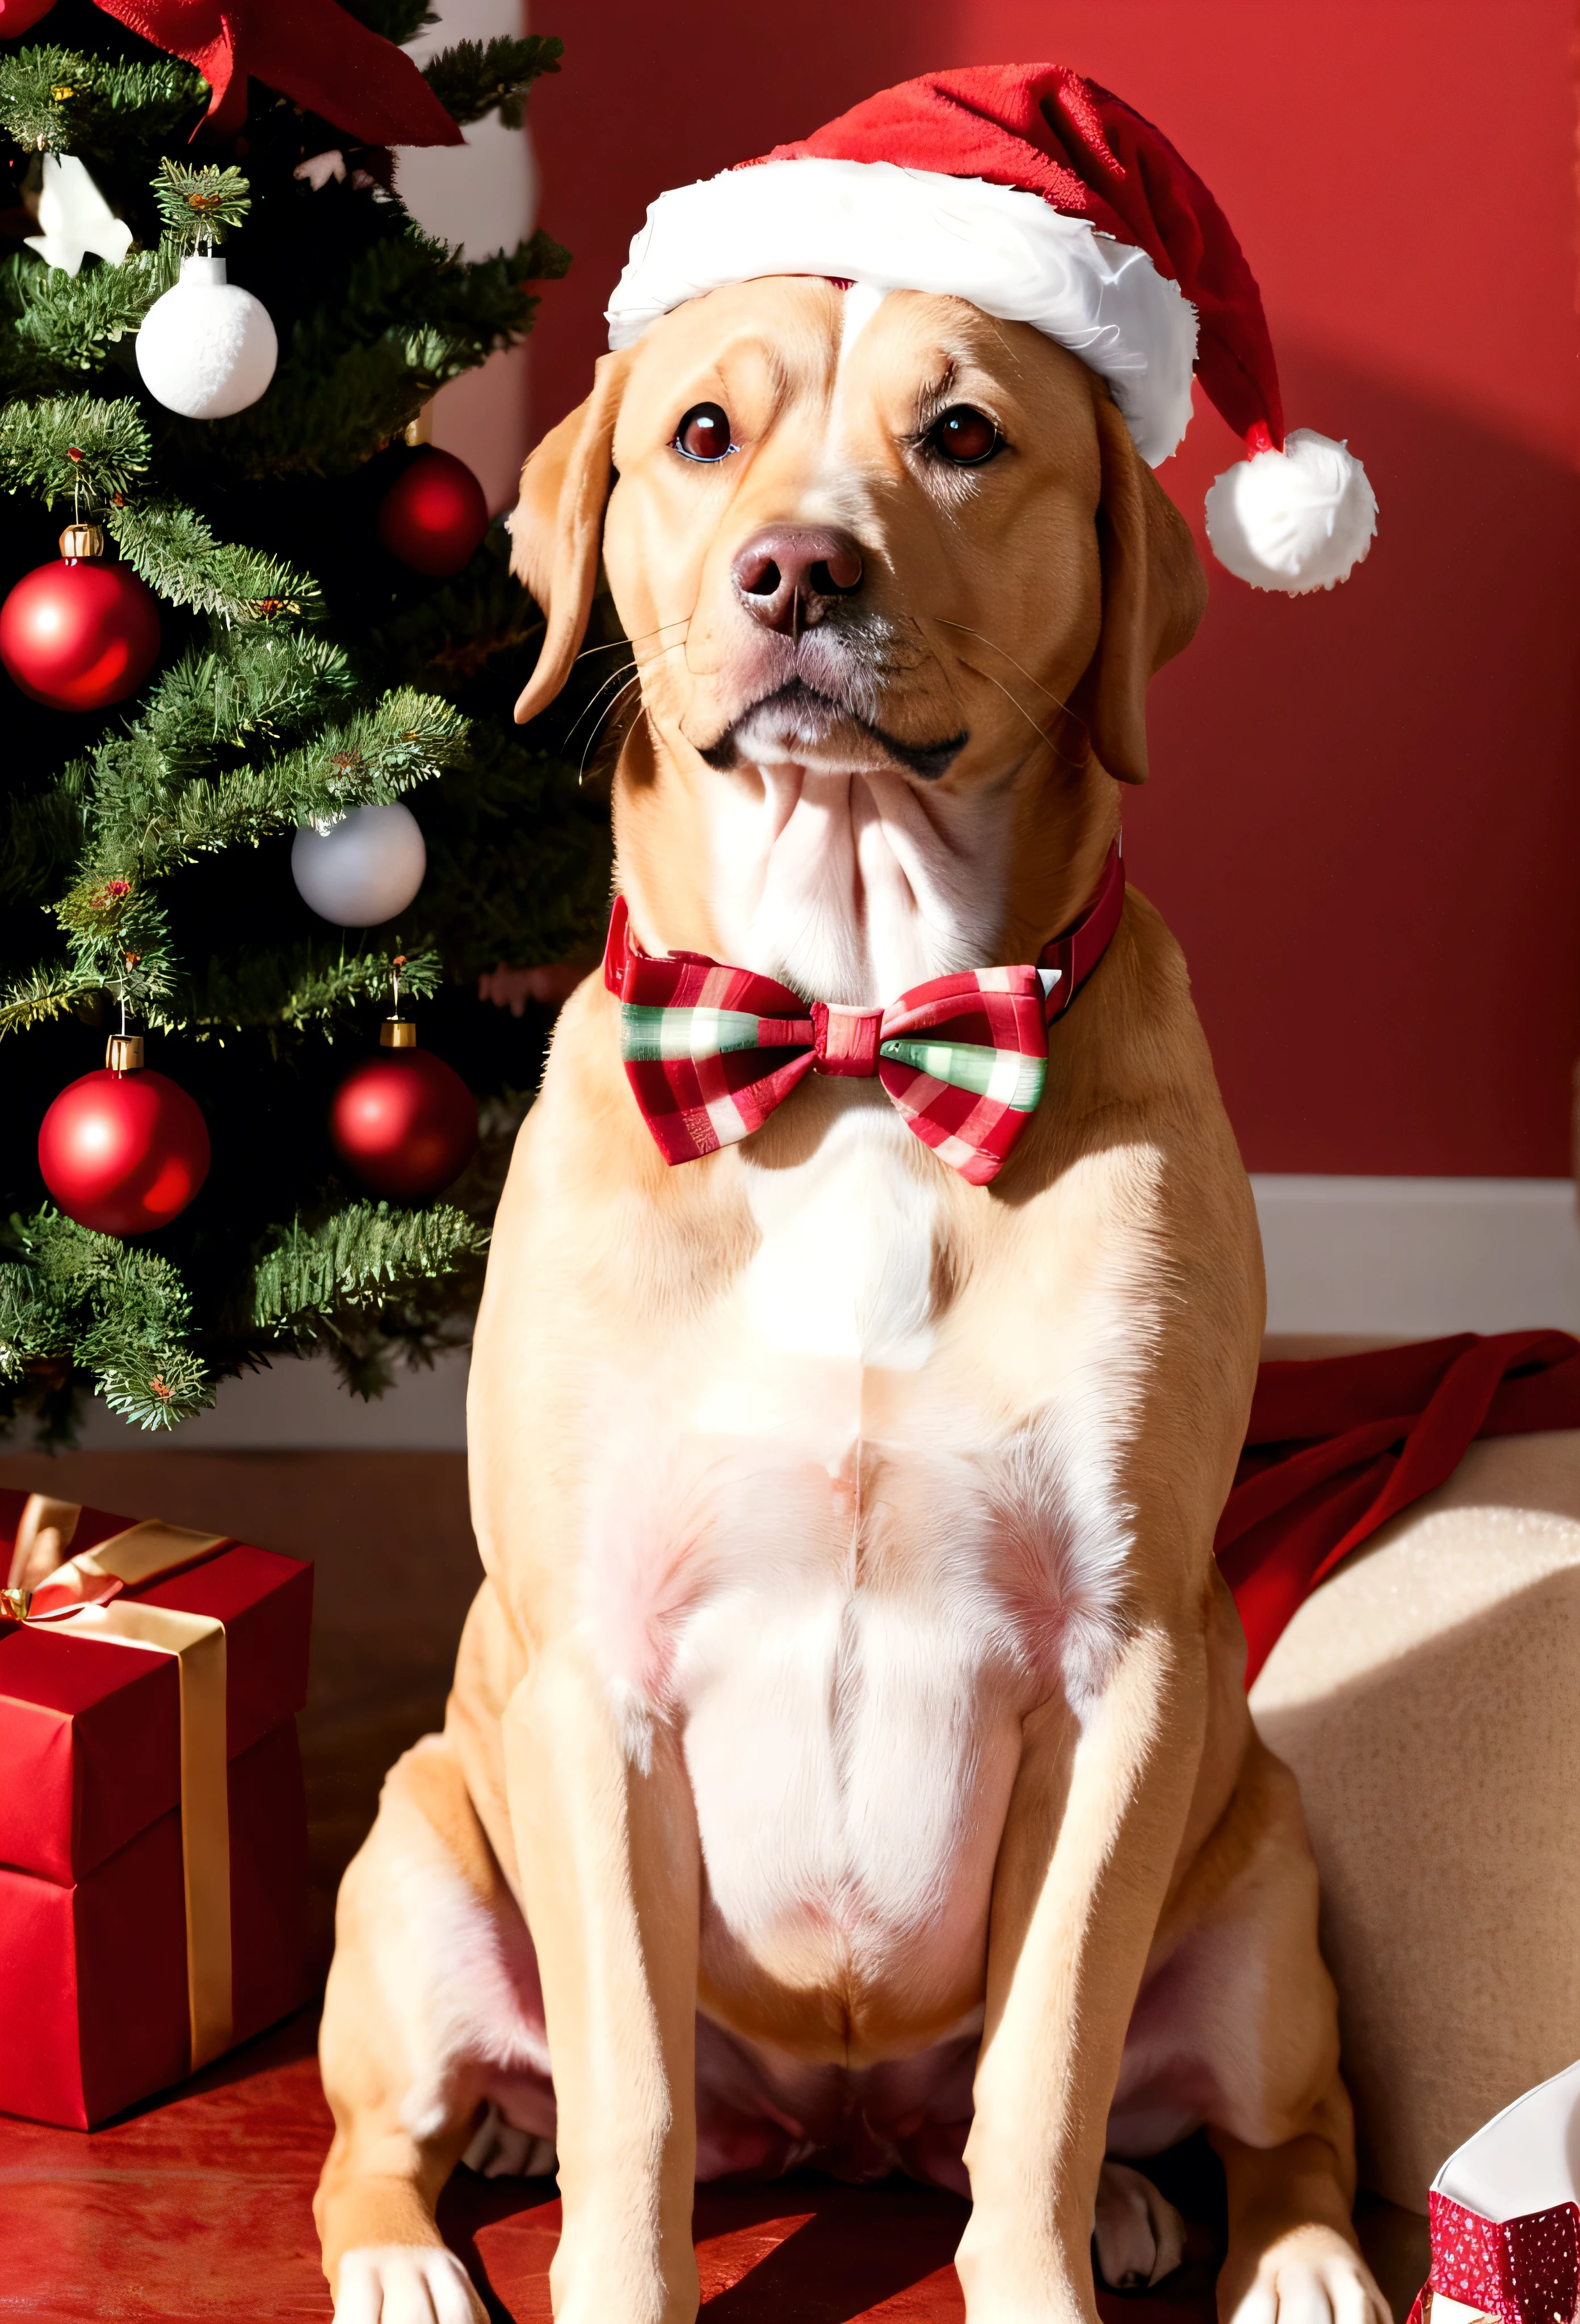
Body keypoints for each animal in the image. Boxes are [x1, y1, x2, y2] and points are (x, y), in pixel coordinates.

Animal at [313, 272, 1385, 2324]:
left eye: (963, 434)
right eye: (702, 433)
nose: (797, 569)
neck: (858, 1041)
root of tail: (837, 2130)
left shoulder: (1121, 1674)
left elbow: (1045, 2077)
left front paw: (1047, 2269)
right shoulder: (594, 1679)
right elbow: (634, 2100)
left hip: (1265, 1878)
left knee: (1271, 2129)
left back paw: (1264, 2250)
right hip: (413, 1860)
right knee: (378, 2140)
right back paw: (426, 2229)